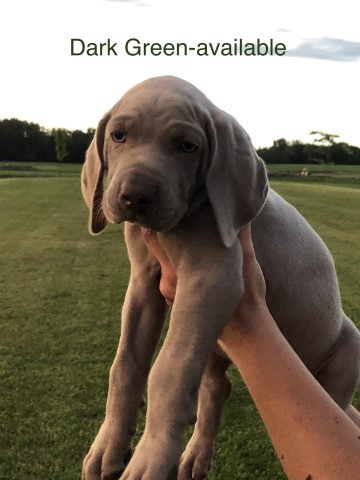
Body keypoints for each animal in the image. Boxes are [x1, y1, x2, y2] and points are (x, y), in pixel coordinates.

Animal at [81, 76, 360, 480]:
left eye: (187, 146)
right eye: (118, 136)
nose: (134, 197)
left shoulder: (212, 280)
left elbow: (168, 371)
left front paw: (151, 458)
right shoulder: (143, 285)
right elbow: (125, 365)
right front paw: (109, 447)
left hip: (343, 359)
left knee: (335, 404)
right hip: (214, 346)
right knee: (217, 388)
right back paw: (196, 455)